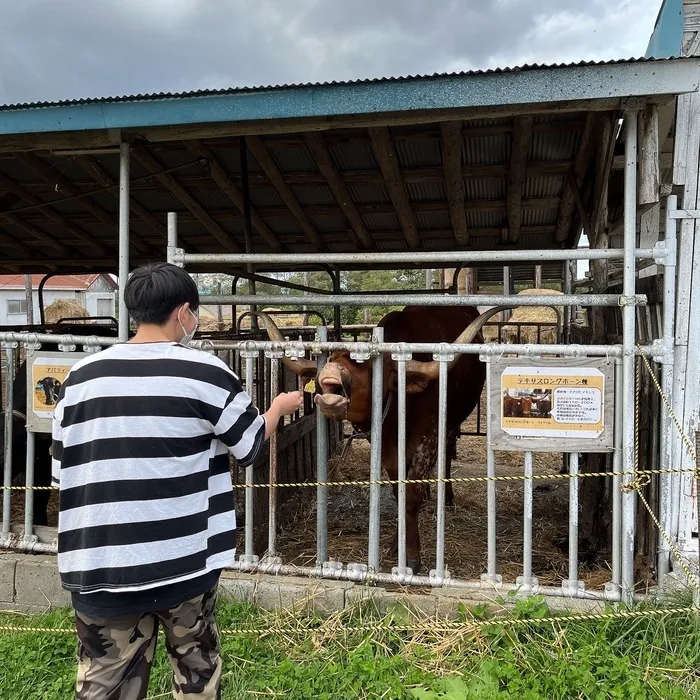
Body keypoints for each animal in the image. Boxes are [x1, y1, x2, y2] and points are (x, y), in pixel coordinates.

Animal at [260, 306, 506, 576]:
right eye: (331, 357)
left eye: (365, 363)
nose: (330, 373)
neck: (400, 401)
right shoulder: (389, 448)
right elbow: (401, 493)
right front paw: (398, 544)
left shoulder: (428, 438)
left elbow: (412, 495)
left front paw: (412, 557)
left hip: (451, 423)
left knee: (448, 453)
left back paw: (447, 495)